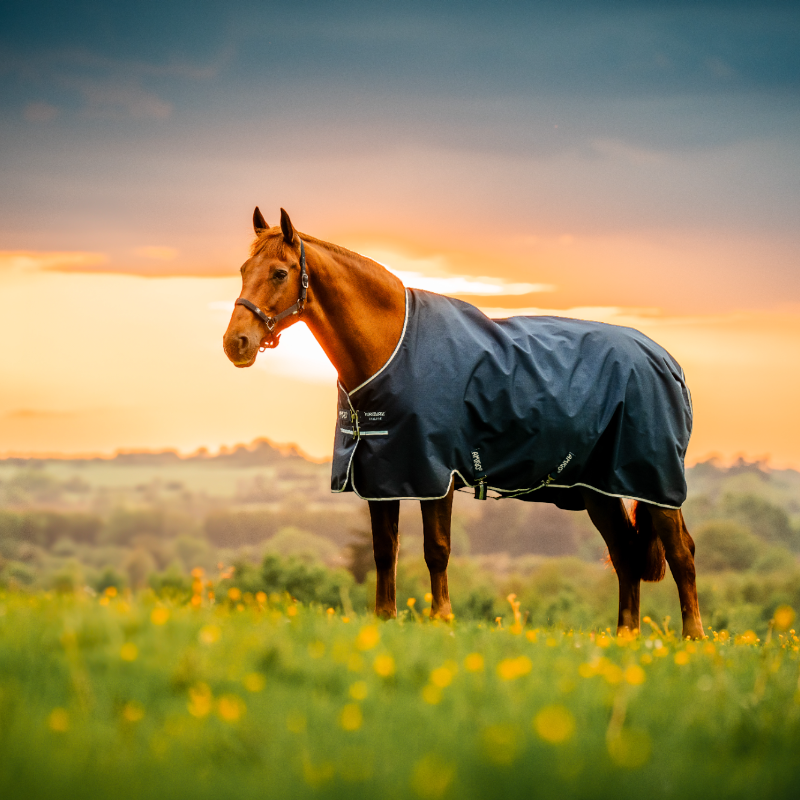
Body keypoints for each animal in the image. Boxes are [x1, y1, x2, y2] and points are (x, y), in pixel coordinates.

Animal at [223, 207, 705, 639]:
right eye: (244, 268)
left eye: (280, 273)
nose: (235, 343)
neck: (392, 347)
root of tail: (668, 362)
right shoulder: (382, 475)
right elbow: (384, 551)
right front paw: (385, 619)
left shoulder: (434, 473)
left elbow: (436, 550)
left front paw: (442, 619)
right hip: (597, 489)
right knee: (624, 554)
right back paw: (626, 637)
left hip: (656, 482)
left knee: (681, 553)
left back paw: (694, 638)